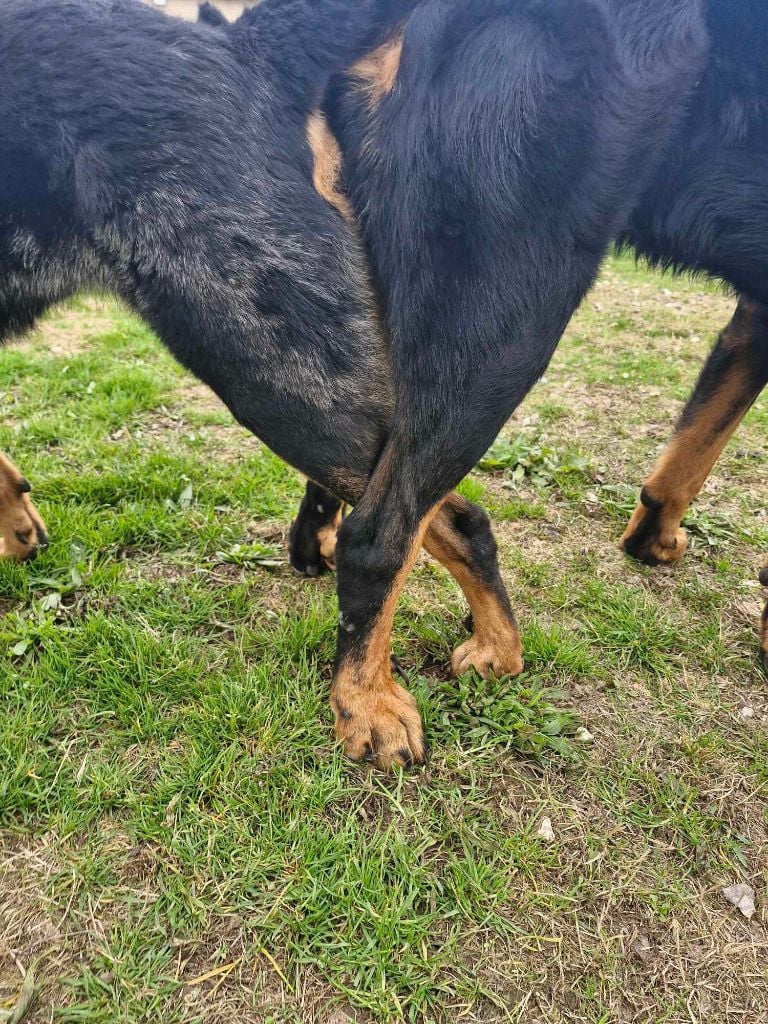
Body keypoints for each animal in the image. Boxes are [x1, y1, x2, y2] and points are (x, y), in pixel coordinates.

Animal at [0, 2, 716, 770]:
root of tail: (247, 45)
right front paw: (15, 523)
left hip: (282, 364)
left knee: (401, 528)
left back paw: (369, 698)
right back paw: (494, 650)